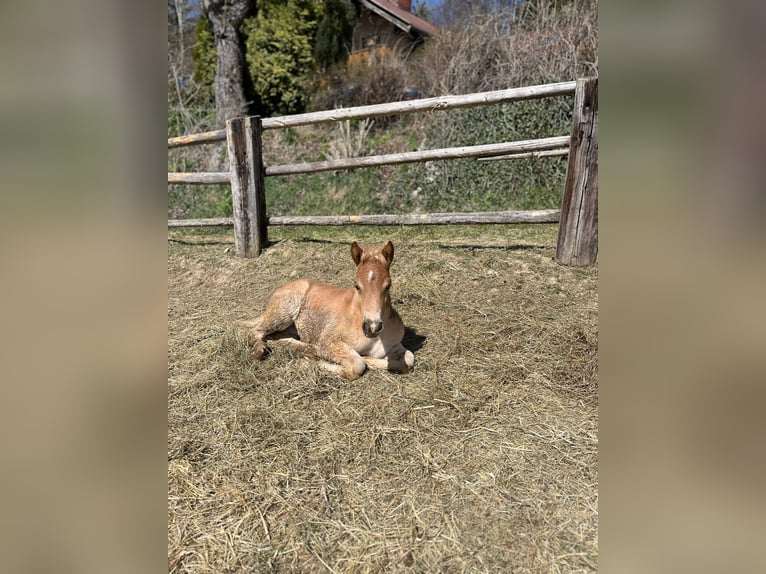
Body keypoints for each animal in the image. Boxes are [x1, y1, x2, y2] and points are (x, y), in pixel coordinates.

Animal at [242, 240, 415, 380]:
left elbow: (409, 360)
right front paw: (306, 363)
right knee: (255, 332)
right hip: (282, 314)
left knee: (278, 336)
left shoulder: (396, 345)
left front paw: (370, 359)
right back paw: (261, 351)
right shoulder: (329, 340)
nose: (372, 328)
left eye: (388, 285)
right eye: (356, 285)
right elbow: (356, 365)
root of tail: (285, 286)